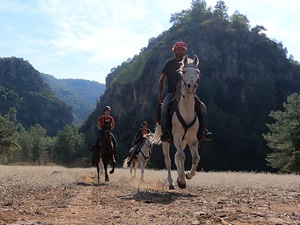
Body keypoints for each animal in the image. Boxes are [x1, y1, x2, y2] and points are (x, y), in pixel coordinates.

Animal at [152, 55, 202, 189]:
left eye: (197, 71)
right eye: (183, 72)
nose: (191, 85)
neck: (186, 112)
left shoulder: (192, 138)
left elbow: (196, 157)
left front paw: (187, 175)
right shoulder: (177, 137)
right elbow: (182, 156)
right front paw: (183, 180)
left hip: (184, 141)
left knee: (176, 156)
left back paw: (179, 177)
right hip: (166, 141)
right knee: (169, 159)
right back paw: (171, 183)